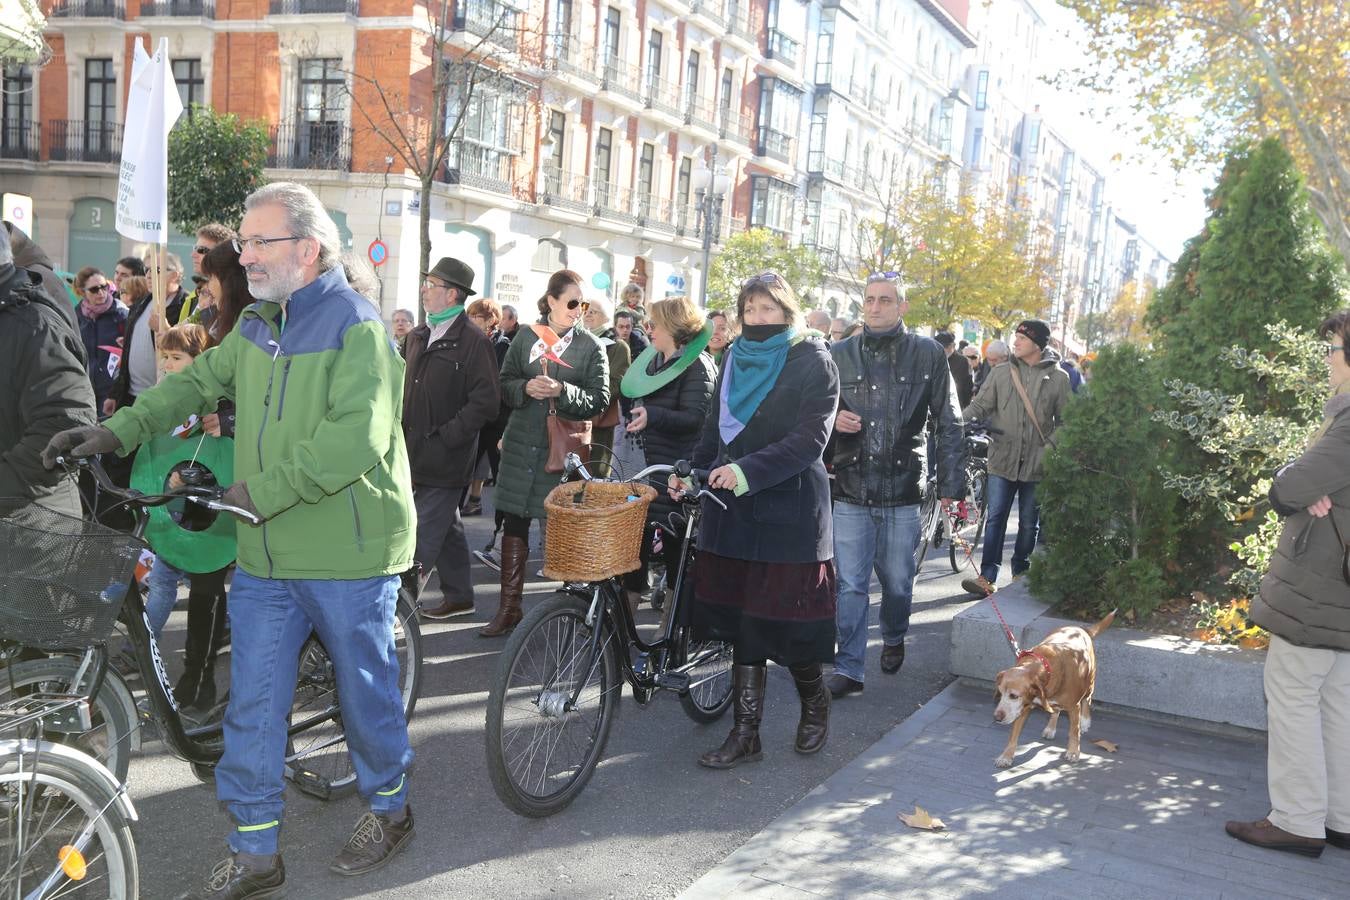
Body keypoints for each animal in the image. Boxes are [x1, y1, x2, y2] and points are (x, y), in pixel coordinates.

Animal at [993, 612, 1117, 766]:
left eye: (1014, 696)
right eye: (1000, 693)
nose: (996, 718)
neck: (1044, 668)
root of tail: (1081, 628)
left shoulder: (1074, 707)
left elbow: (1074, 731)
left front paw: (1073, 751)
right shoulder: (1024, 708)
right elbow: (1013, 735)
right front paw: (1006, 756)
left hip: (1090, 683)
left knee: (1087, 700)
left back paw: (1085, 721)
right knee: (1056, 710)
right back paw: (1051, 727)